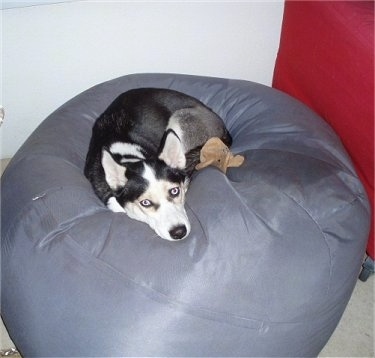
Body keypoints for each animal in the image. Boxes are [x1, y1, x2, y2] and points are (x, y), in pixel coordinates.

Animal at [85, 88, 232, 242]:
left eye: (174, 191)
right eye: (145, 203)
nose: (179, 232)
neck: (128, 156)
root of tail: (224, 128)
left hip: (179, 120)